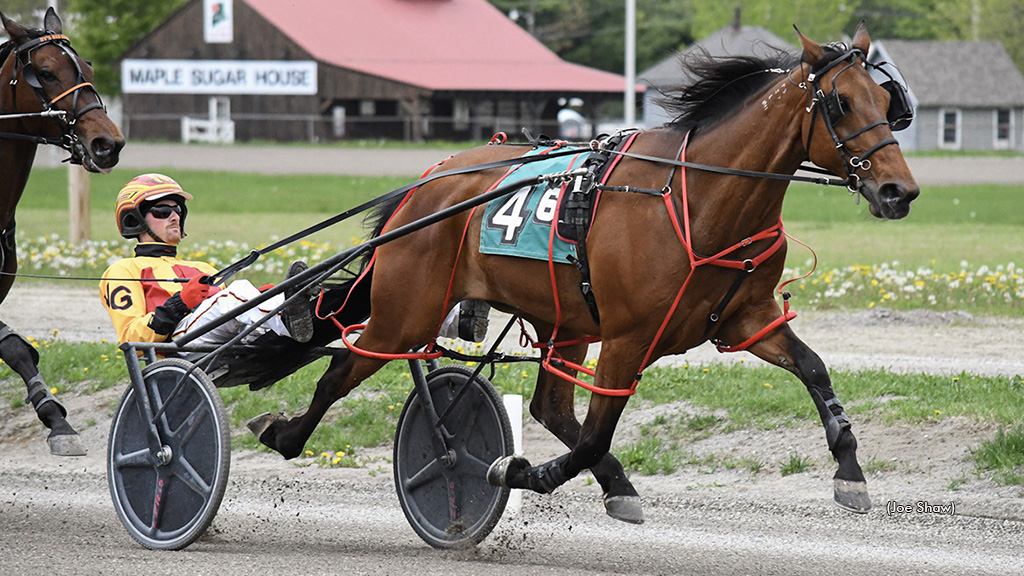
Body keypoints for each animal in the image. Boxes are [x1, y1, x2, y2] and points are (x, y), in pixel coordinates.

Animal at [251, 22, 917, 518]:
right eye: (840, 102)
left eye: (888, 103)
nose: (899, 191)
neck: (699, 199)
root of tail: (428, 180)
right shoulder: (629, 335)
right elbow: (597, 431)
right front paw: (521, 471)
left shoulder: (745, 318)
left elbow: (814, 368)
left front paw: (850, 471)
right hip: (407, 312)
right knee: (341, 369)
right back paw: (285, 433)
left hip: (561, 316)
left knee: (550, 406)